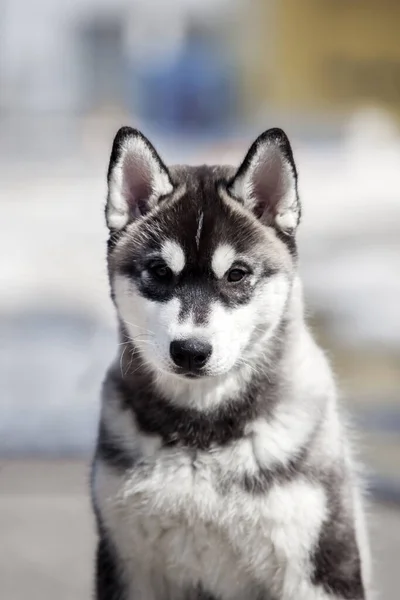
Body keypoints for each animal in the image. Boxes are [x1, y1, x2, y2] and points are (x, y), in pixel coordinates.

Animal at [90, 124, 368, 596]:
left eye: (236, 274)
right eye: (160, 272)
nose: (190, 351)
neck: (202, 434)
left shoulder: (319, 566)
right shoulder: (130, 564)